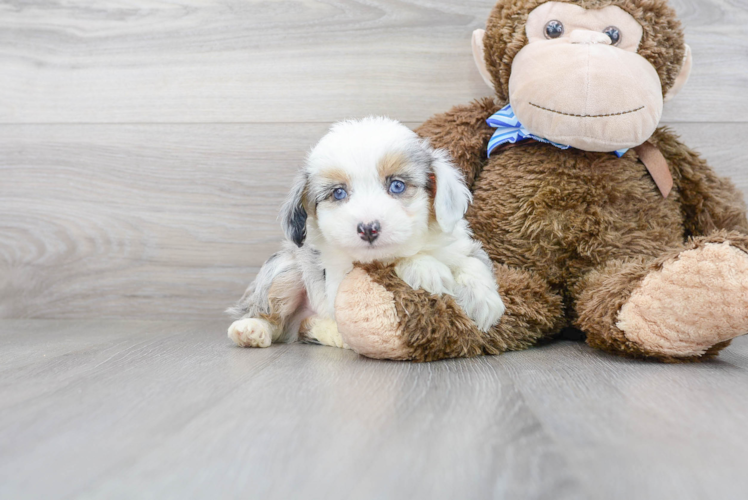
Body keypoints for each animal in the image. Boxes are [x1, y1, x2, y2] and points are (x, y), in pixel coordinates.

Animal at [228, 116, 506, 350]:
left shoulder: (461, 244)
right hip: (285, 269)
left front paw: (483, 300)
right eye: (338, 193)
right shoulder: (342, 274)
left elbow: (472, 262)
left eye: (397, 186)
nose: (368, 228)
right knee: (269, 315)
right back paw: (251, 329)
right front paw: (426, 268)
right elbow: (390, 261)